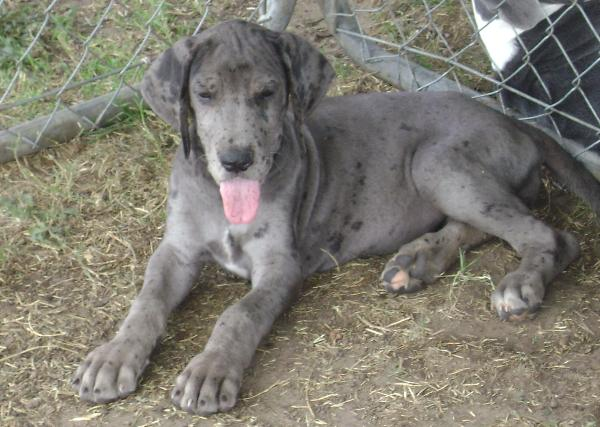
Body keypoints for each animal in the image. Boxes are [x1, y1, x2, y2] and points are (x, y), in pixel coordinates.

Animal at [71, 19, 600, 414]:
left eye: (267, 93)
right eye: (204, 94)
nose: (237, 160)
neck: (221, 198)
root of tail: (516, 120)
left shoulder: (280, 265)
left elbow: (238, 314)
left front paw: (210, 370)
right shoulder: (175, 250)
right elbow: (147, 300)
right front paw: (114, 355)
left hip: (437, 163)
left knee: (549, 234)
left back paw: (520, 284)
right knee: (480, 224)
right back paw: (416, 262)